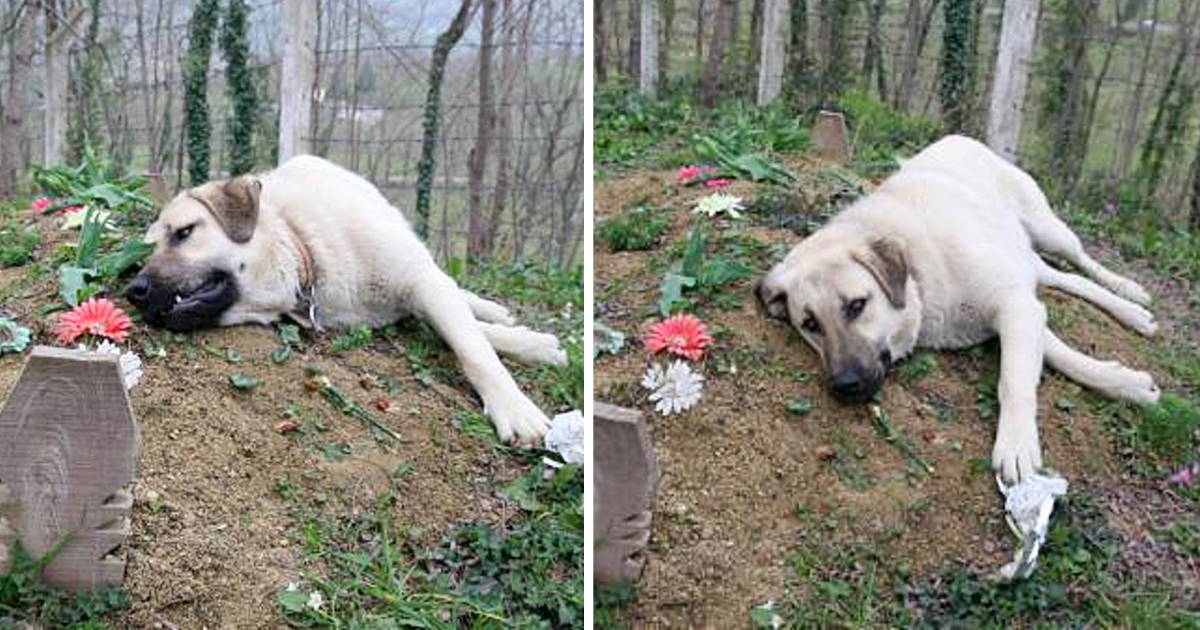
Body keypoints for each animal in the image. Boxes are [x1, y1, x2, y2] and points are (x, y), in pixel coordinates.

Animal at [124, 154, 568, 444]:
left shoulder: (420, 284)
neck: (304, 249)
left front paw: (515, 404)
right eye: (143, 254)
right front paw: (532, 345)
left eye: (184, 232)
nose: (134, 292)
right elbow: (466, 334)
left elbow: (473, 347)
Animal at [758, 135, 1161, 482]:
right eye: (810, 324)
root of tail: (958, 137)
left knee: (1081, 262)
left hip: (1049, 231)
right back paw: (1132, 313)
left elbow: (1014, 378)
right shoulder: (1019, 305)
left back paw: (1129, 294)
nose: (845, 386)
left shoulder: (1013, 304)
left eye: (857, 305)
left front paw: (1017, 443)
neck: (919, 272)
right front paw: (1123, 381)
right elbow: (1060, 354)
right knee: (1063, 278)